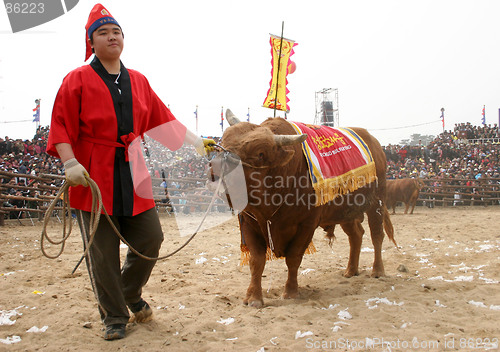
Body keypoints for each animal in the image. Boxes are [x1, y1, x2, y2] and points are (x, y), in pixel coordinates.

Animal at [217, 110, 396, 308]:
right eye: (223, 142)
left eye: (260, 153)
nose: (218, 168)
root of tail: (375, 144)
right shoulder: (248, 223)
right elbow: (257, 261)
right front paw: (254, 297)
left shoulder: (306, 225)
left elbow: (294, 258)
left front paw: (291, 292)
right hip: (346, 212)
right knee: (356, 235)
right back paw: (351, 270)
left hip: (376, 202)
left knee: (377, 235)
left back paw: (377, 271)